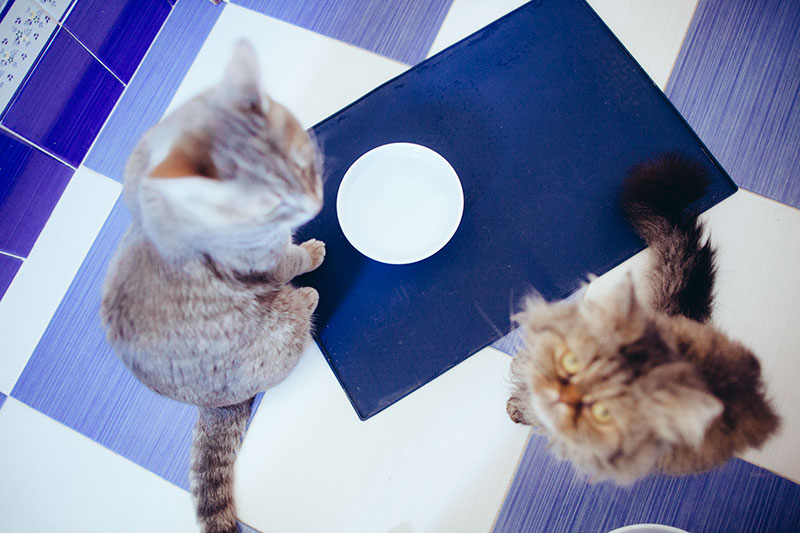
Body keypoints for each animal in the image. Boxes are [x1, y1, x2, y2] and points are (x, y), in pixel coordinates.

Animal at [101, 42, 324, 532]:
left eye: (303, 163)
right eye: (269, 201)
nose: (313, 203)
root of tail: (212, 406)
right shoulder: (264, 264)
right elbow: (293, 258)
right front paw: (313, 251)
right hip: (278, 330)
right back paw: (307, 296)